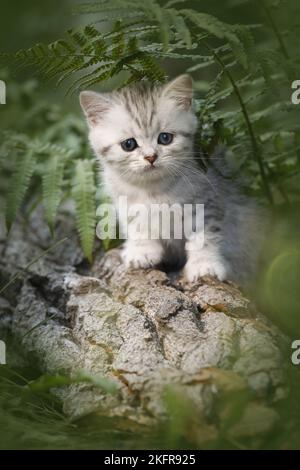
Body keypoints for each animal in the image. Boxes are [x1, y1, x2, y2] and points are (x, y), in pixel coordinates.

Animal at [79, 75, 264, 284]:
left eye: (165, 138)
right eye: (129, 144)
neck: (153, 190)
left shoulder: (207, 201)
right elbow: (137, 225)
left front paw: (204, 264)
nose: (151, 157)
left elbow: (204, 236)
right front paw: (142, 250)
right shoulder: (125, 201)